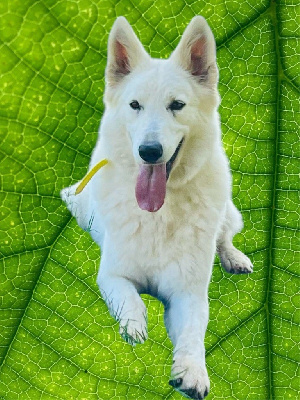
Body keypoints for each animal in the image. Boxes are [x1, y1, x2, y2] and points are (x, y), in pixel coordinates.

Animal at [61, 16, 253, 400]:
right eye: (135, 105)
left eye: (176, 105)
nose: (149, 152)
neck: (158, 215)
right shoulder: (112, 274)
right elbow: (129, 298)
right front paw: (135, 324)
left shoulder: (188, 294)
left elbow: (193, 335)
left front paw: (192, 371)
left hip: (226, 209)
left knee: (224, 236)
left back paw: (234, 257)